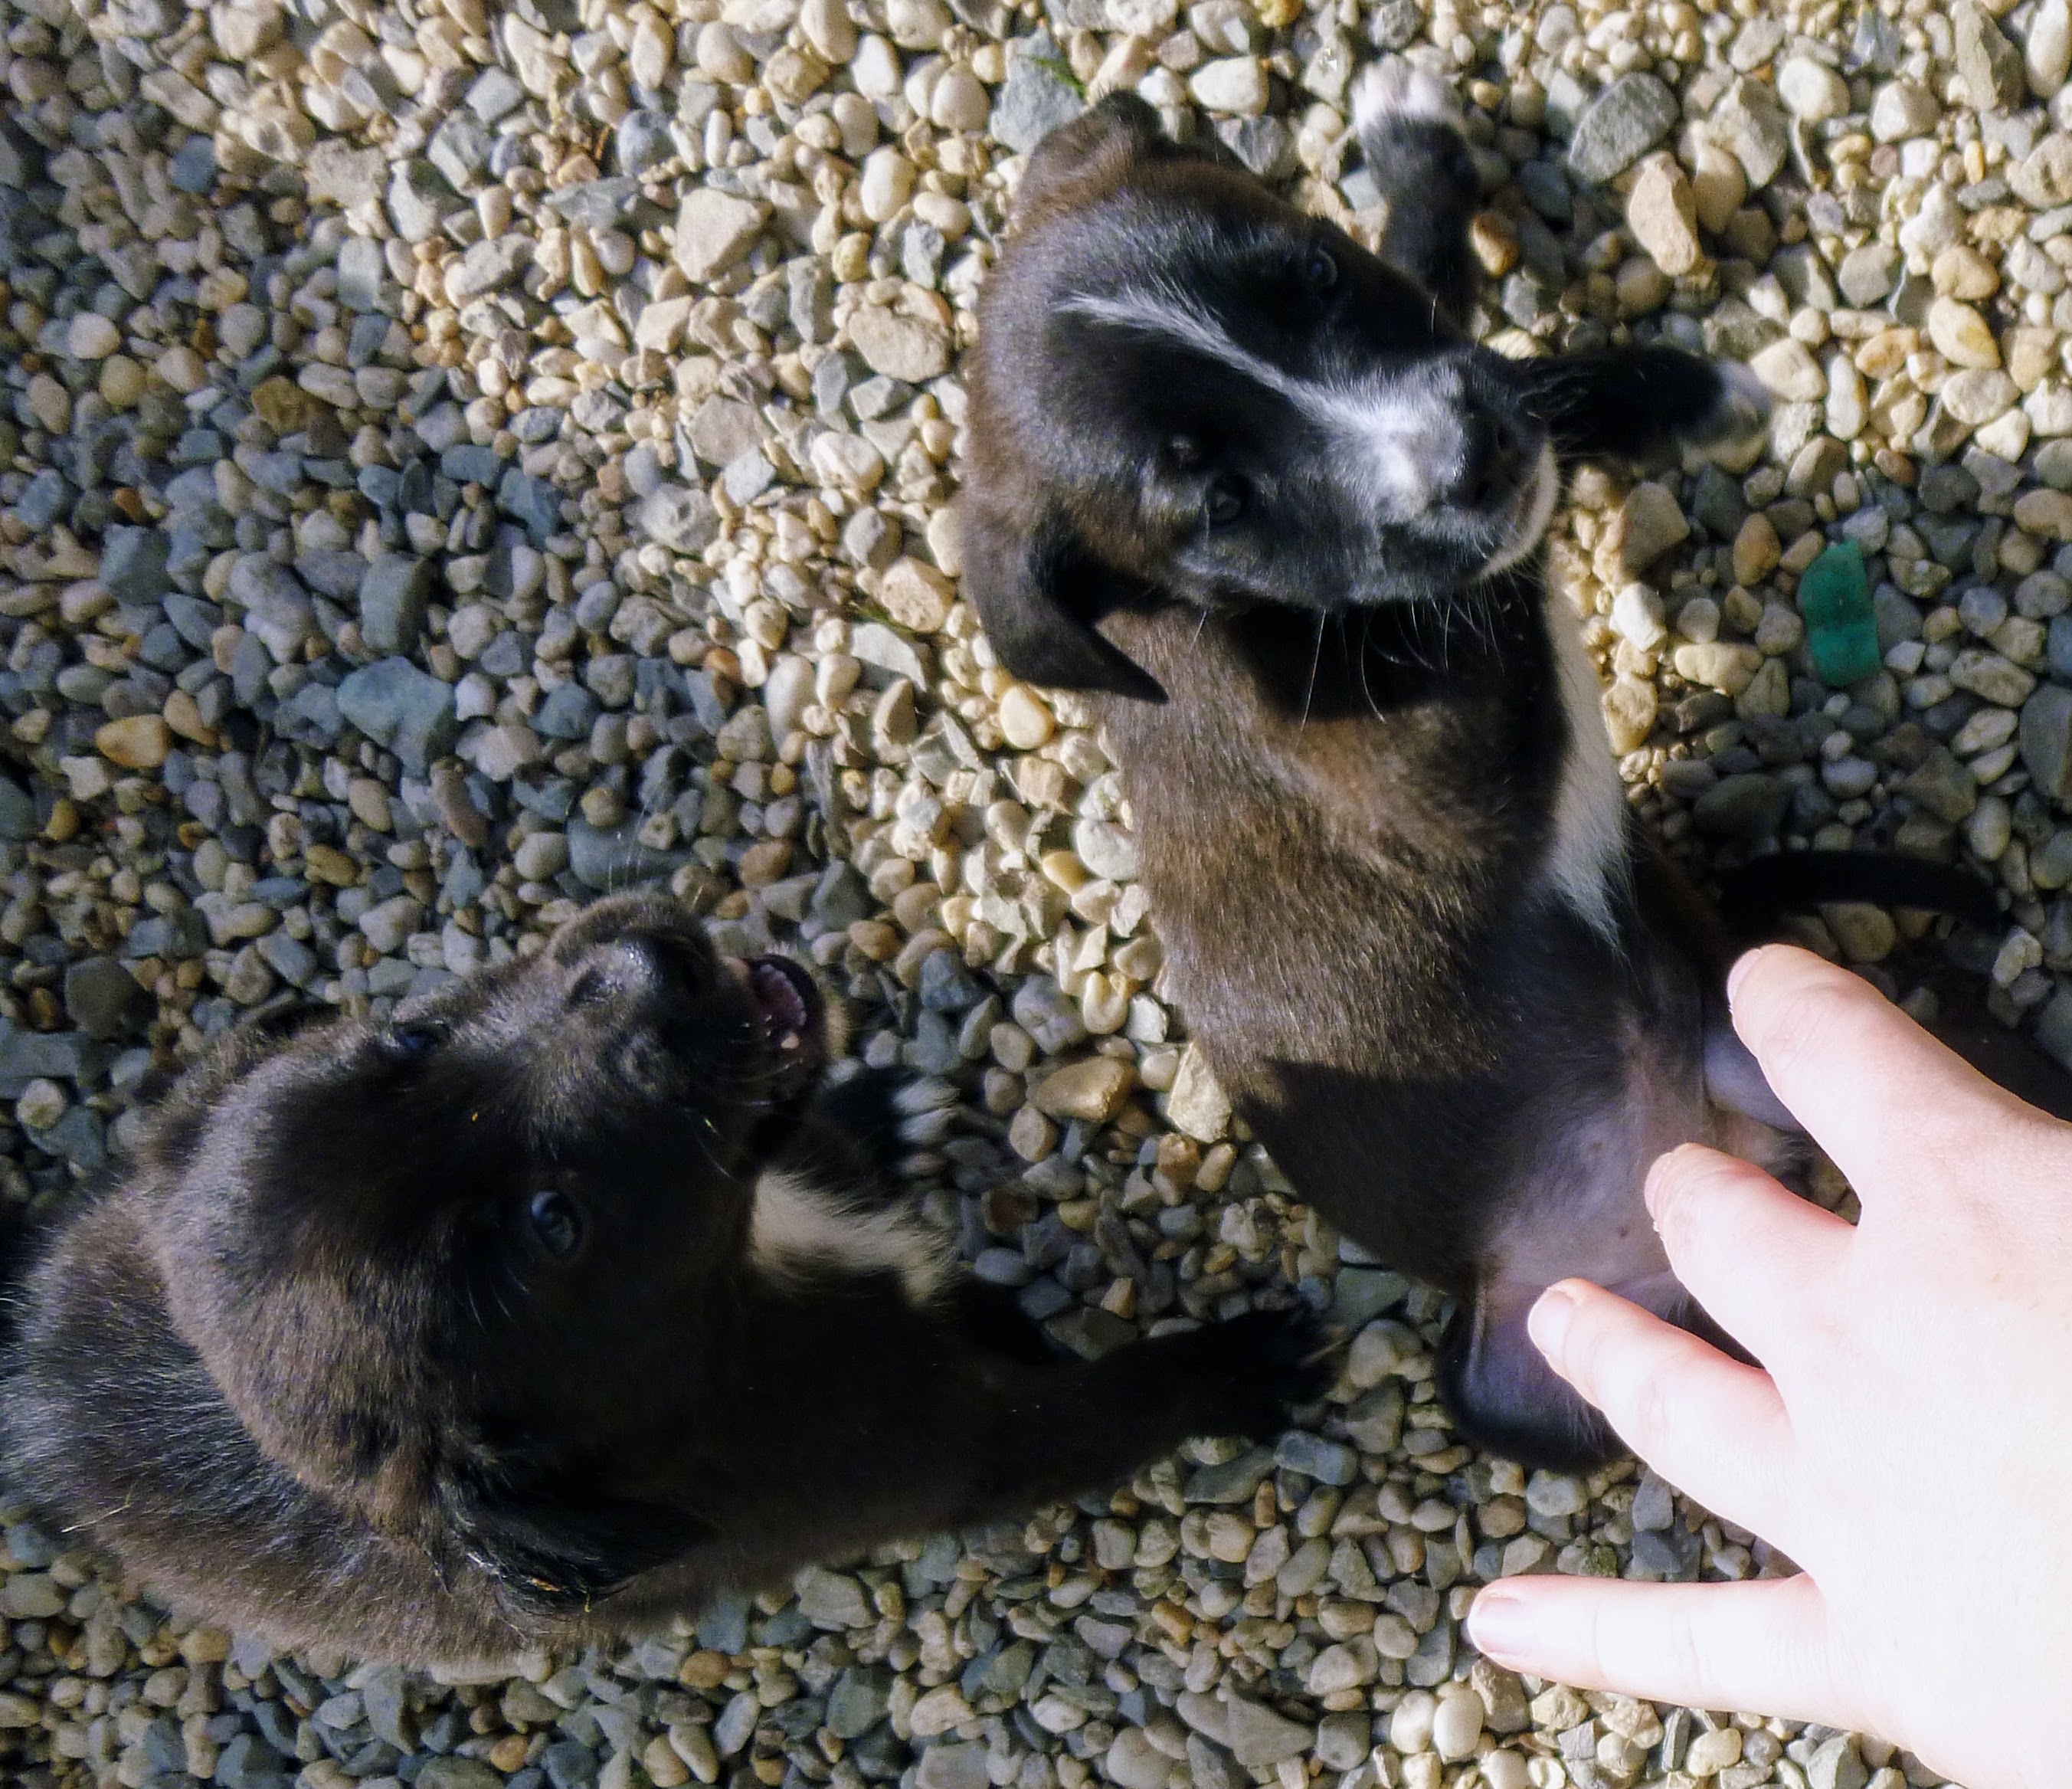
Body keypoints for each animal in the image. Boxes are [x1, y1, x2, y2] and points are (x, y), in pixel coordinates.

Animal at [0, 895, 1322, 1666]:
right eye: (553, 1224)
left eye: (408, 1041)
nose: (651, 963)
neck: (738, 1280)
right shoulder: (961, 1445)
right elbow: (1107, 1406)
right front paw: (1240, 1362)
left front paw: (868, 1114)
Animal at [960, 68, 2071, 1469]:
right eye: (1218, 503)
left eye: (1314, 271)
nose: (1470, 454)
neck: (1221, 623)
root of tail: (1711, 1144)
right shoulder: (1442, 776)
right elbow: (1489, 562)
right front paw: (1640, 391)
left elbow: (1438, 293)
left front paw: (1417, 153)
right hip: (1529, 1366)